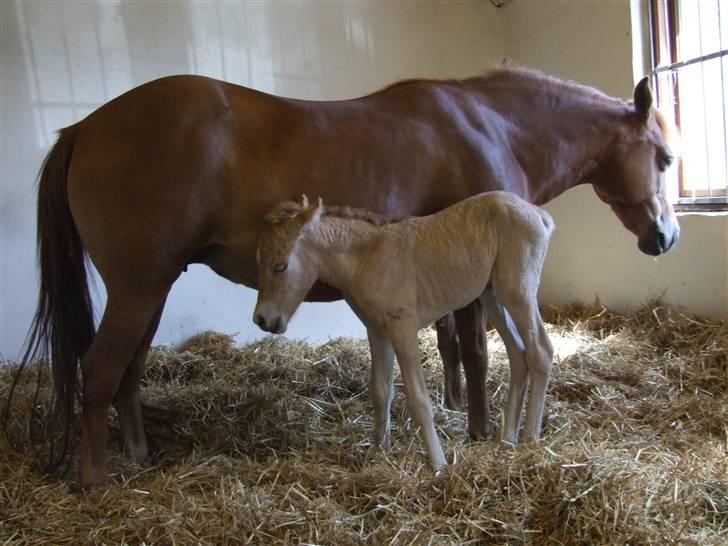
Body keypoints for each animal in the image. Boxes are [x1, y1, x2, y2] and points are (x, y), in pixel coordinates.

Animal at [253, 192, 556, 468]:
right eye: (259, 260)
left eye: (281, 266)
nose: (262, 320)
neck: (365, 258)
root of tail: (540, 215)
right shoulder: (377, 330)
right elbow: (380, 390)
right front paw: (379, 450)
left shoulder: (404, 329)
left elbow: (419, 400)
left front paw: (439, 465)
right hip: (492, 294)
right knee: (518, 354)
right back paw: (507, 440)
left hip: (517, 291)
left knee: (540, 350)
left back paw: (529, 440)